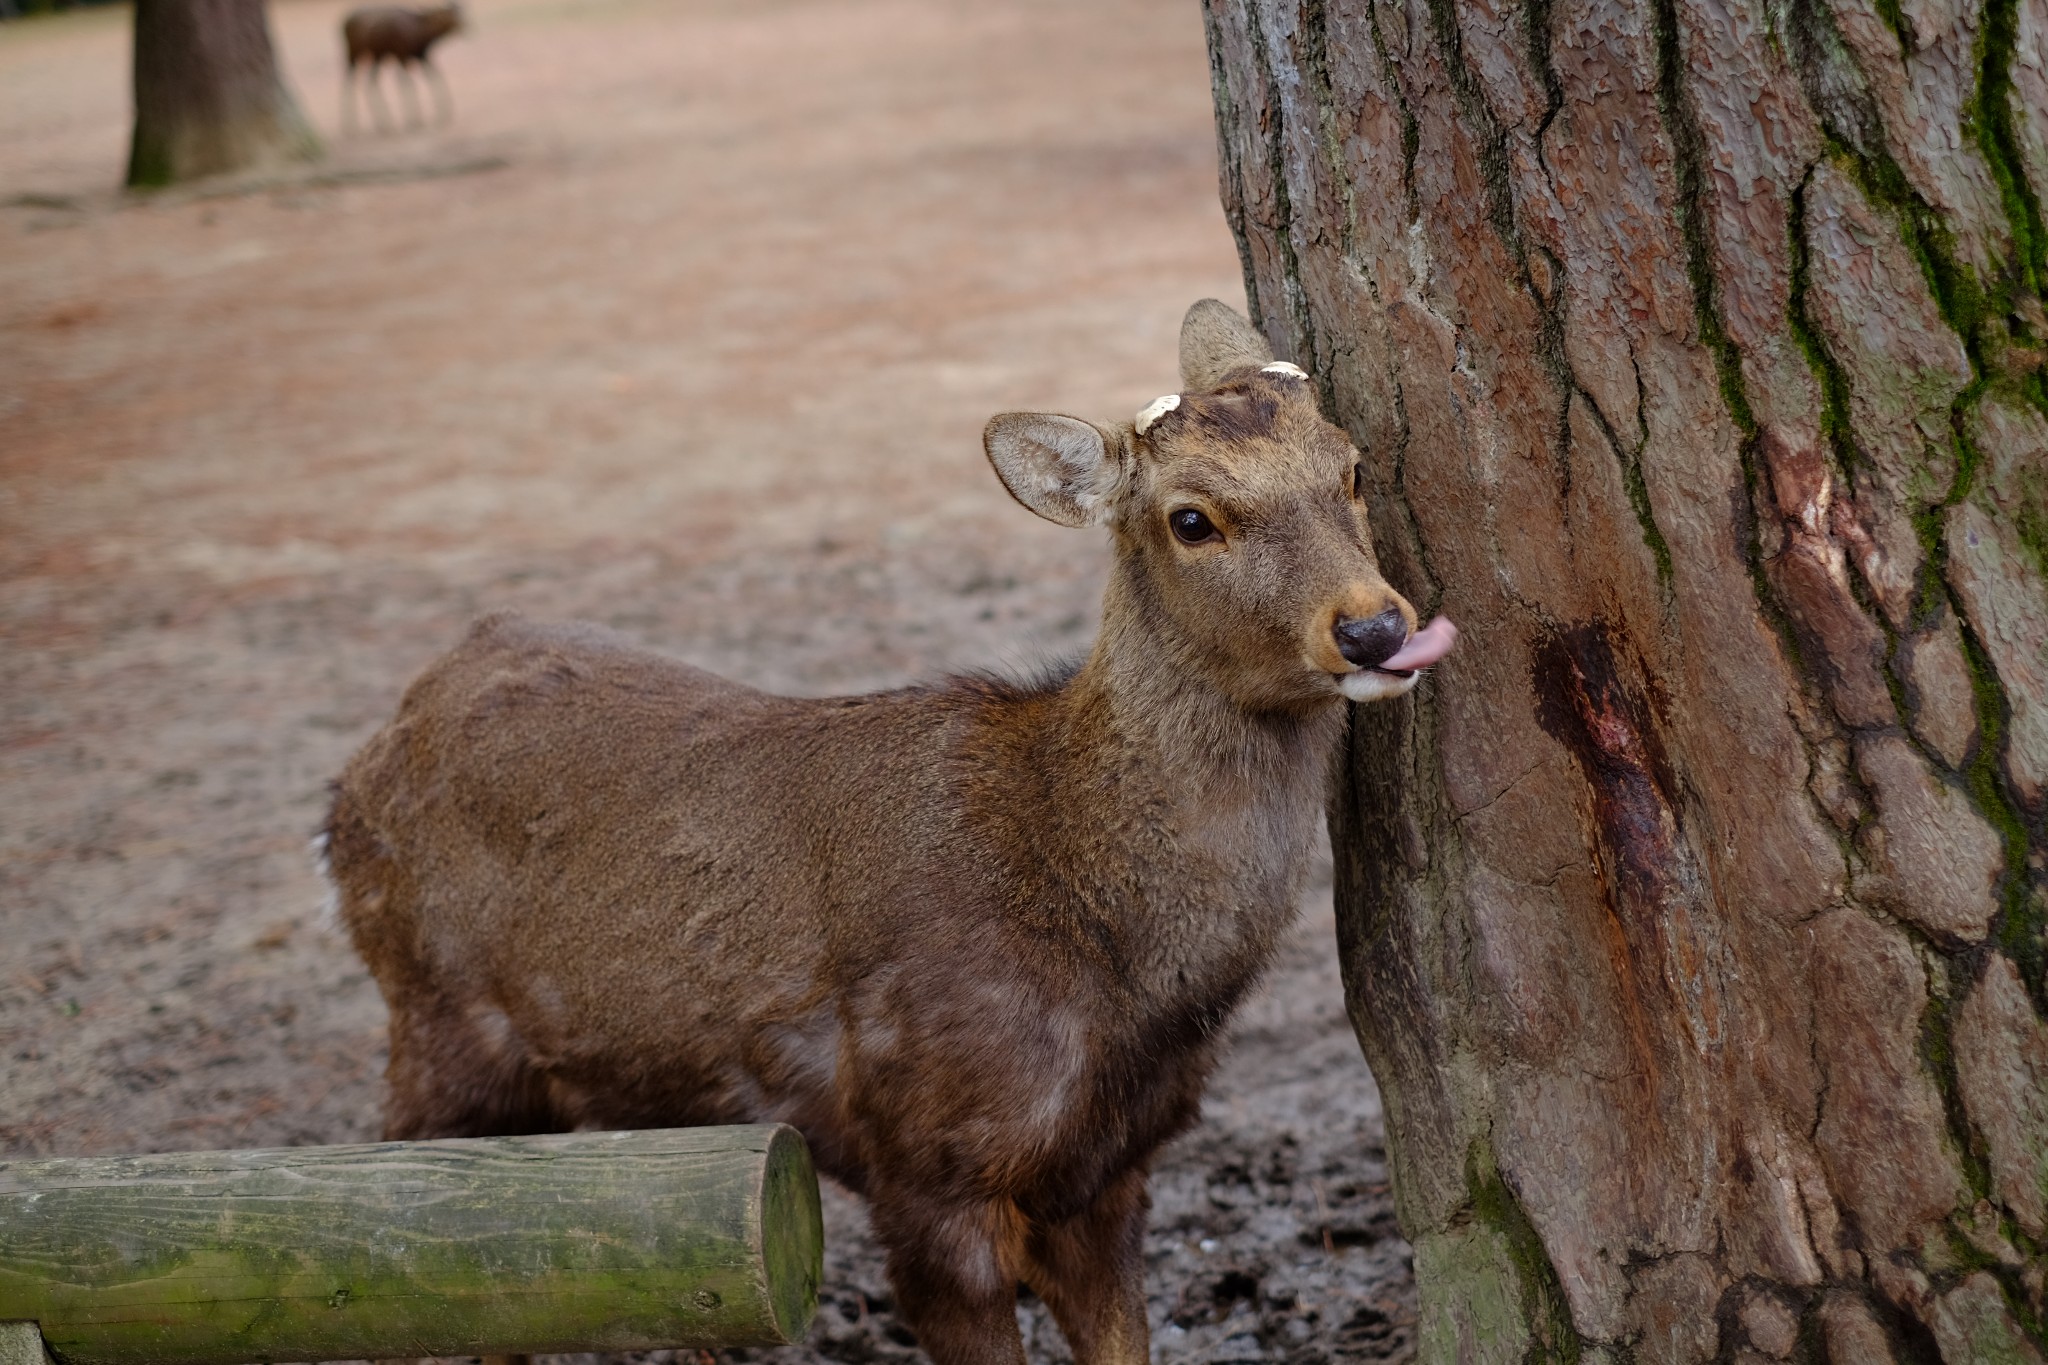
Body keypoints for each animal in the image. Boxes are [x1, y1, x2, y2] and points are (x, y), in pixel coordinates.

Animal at [323, 300, 1458, 1365]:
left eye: (1353, 466)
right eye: (1190, 518)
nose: (1372, 627)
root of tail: (365, 758)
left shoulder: (1107, 1175)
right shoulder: (924, 1169)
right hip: (431, 1026)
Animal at [339, 1, 460, 133]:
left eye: (459, 12)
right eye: (446, 15)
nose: (464, 23)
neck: (420, 31)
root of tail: (345, 22)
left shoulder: (422, 56)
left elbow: (434, 76)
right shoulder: (402, 55)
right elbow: (406, 82)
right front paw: (415, 120)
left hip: (376, 56)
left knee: (370, 81)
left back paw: (381, 124)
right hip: (353, 53)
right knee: (349, 80)